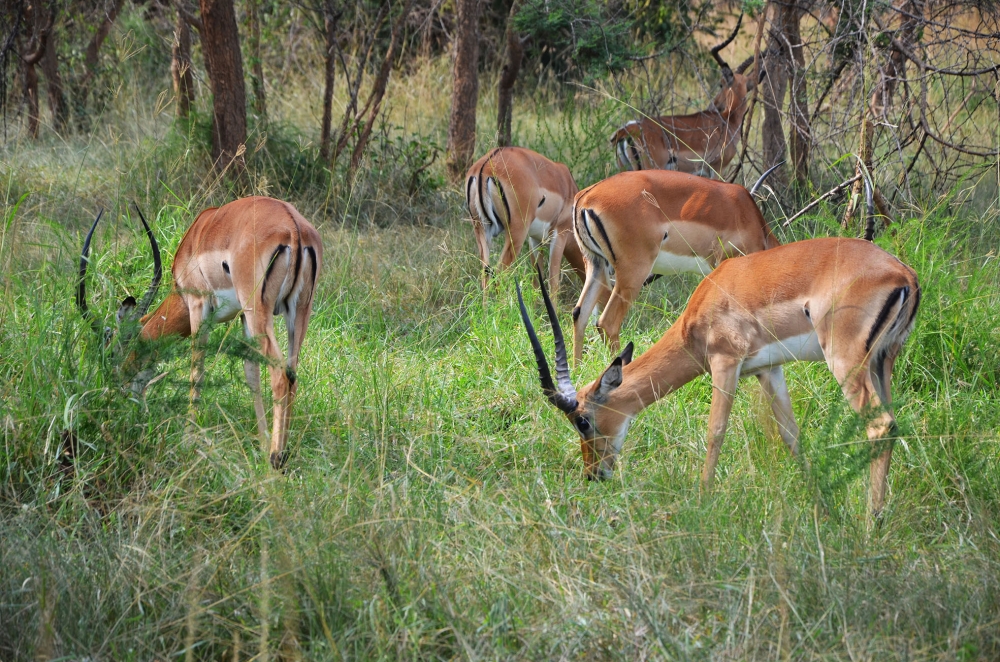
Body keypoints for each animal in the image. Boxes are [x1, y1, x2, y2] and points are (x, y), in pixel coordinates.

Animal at [77, 197, 323, 470]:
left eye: (111, 354)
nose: (118, 396)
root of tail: (294, 229)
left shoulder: (198, 305)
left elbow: (197, 372)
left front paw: (187, 439)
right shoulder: (241, 318)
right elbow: (251, 374)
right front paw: (261, 442)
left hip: (259, 310)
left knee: (280, 374)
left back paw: (276, 459)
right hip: (299, 311)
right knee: (292, 374)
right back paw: (282, 451)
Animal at [466, 146, 587, 294]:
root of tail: (486, 165)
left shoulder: (534, 239)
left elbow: (536, 281)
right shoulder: (559, 235)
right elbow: (553, 283)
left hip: (481, 229)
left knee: (485, 276)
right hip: (516, 234)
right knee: (499, 274)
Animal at [518, 233, 921, 518]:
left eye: (582, 420)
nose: (593, 474)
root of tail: (905, 275)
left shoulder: (726, 363)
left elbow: (715, 433)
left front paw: (703, 502)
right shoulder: (768, 370)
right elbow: (791, 436)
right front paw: (825, 511)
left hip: (847, 362)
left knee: (879, 426)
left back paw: (871, 524)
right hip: (882, 363)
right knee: (890, 422)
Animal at [571, 164, 781, 364]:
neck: (747, 214)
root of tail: (585, 198)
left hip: (596, 266)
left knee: (579, 314)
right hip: (632, 274)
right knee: (607, 322)